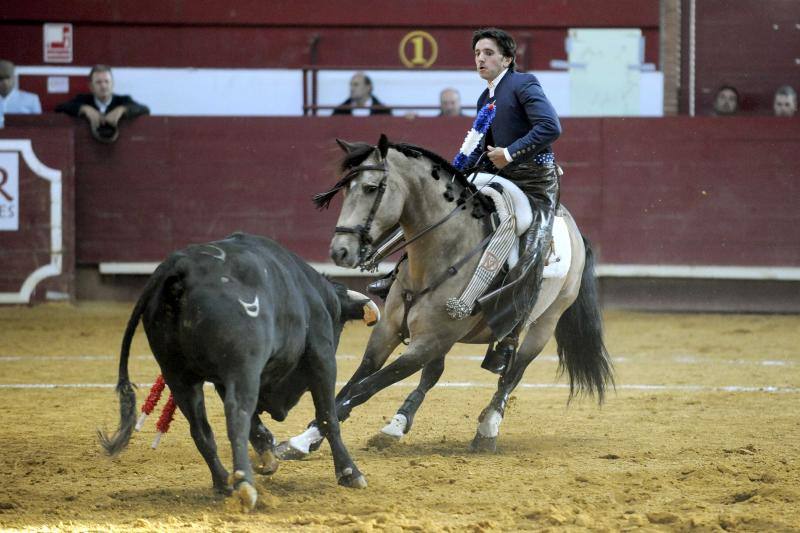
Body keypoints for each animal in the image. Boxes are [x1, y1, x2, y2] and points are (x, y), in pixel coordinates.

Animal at [97, 232, 378, 508]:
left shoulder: (222, 379)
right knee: (237, 414)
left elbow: (256, 424)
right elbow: (328, 416)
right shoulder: (321, 358)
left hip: (178, 375)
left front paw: (268, 456)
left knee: (201, 429)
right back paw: (245, 484)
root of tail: (179, 267)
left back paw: (224, 482)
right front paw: (350, 473)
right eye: (339, 324)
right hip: (243, 367)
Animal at [282, 134, 612, 458]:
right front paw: (304, 439)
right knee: (435, 373)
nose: (340, 251)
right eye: (345, 189)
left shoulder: (429, 342)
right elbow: (355, 380)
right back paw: (397, 425)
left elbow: (366, 387)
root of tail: (575, 230)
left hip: (545, 322)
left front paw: (304, 440)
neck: (440, 254)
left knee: (513, 373)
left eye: (371, 187)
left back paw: (487, 429)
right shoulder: (389, 329)